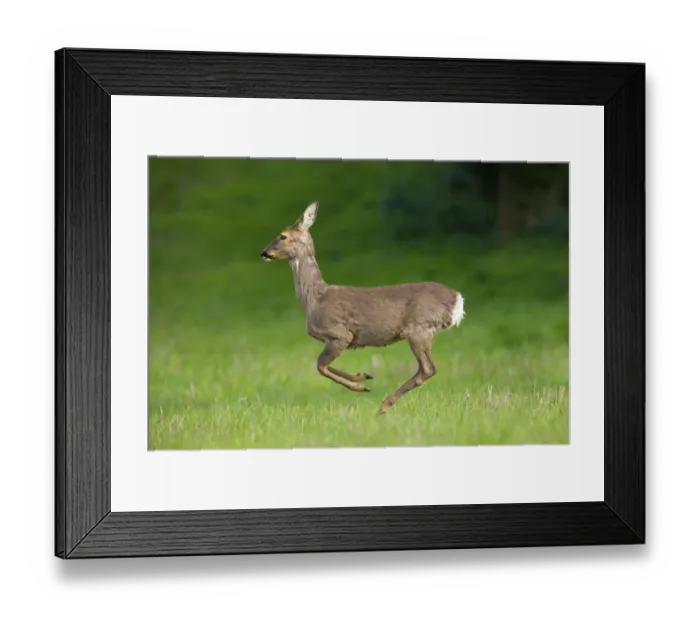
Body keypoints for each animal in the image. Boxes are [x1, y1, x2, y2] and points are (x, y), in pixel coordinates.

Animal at [261, 201, 465, 416]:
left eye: (283, 236)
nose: (264, 253)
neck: (314, 299)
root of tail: (457, 298)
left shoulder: (340, 334)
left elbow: (320, 366)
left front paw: (360, 386)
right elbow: (324, 366)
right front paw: (364, 376)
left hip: (420, 329)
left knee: (428, 369)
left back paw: (384, 406)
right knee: (426, 369)